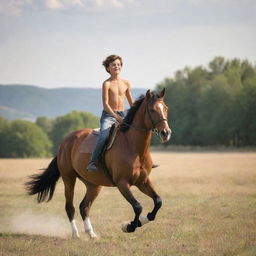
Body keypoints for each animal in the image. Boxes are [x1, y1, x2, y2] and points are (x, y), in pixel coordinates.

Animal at [25, 88, 172, 238]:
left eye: (166, 108)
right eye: (152, 110)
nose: (166, 133)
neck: (133, 147)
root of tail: (65, 142)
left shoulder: (143, 181)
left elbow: (158, 201)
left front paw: (141, 221)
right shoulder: (122, 183)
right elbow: (138, 206)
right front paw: (129, 226)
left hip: (94, 185)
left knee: (84, 206)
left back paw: (91, 234)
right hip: (69, 179)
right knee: (70, 207)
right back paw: (75, 234)